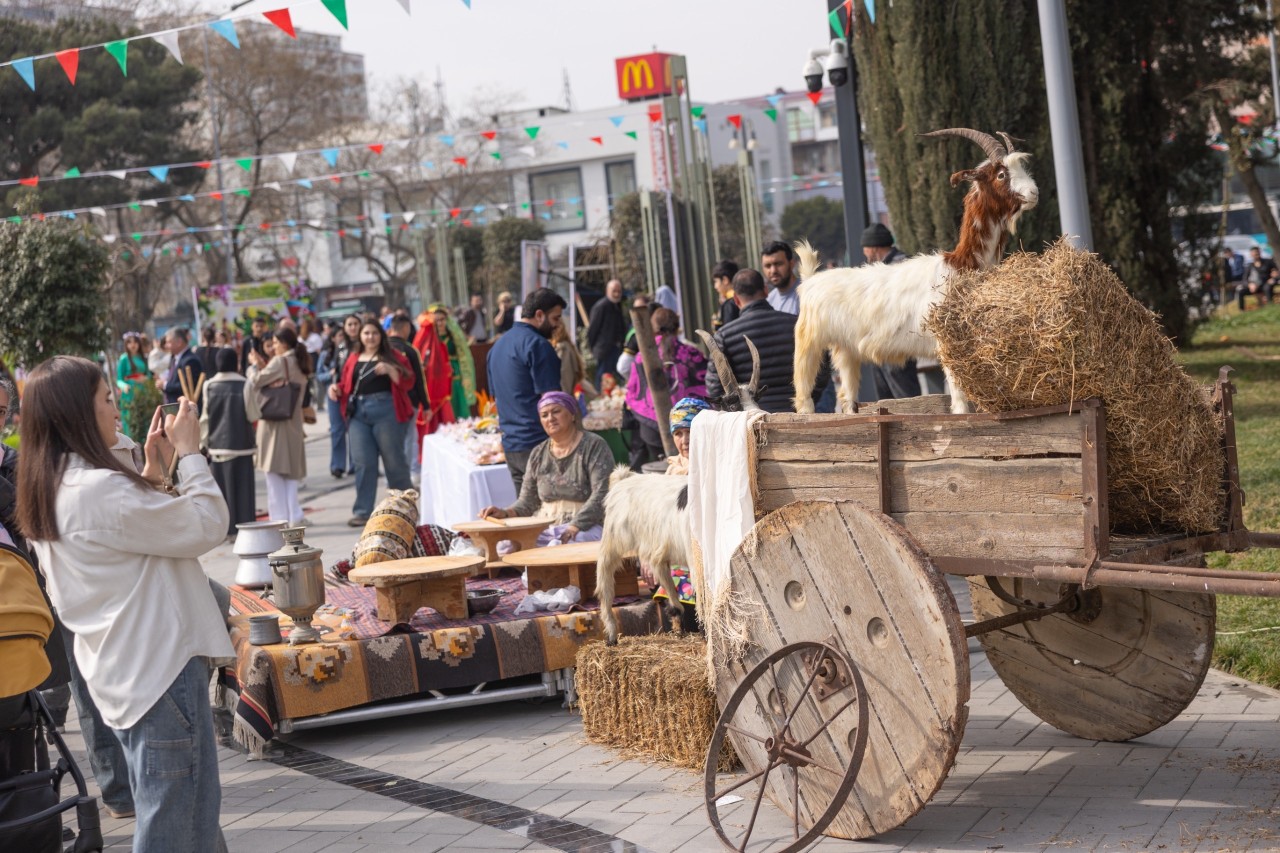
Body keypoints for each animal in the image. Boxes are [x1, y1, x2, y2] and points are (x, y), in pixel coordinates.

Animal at [788, 126, 1039, 414]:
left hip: (846, 348)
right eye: (1001, 174)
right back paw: (806, 414)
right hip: (809, 339)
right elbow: (959, 396)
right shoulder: (945, 342)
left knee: (847, 394)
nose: (1034, 193)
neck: (959, 265)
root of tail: (809, 280)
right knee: (803, 385)